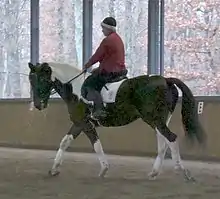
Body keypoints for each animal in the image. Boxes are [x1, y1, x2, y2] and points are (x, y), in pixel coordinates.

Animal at [27, 61, 206, 180]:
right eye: (31, 80)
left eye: (42, 79)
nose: (38, 105)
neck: (75, 90)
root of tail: (166, 80)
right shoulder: (79, 123)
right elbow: (65, 142)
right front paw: (54, 169)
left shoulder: (85, 124)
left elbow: (96, 145)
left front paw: (104, 169)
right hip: (159, 121)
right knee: (163, 143)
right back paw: (154, 172)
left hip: (154, 119)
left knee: (171, 139)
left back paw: (182, 171)